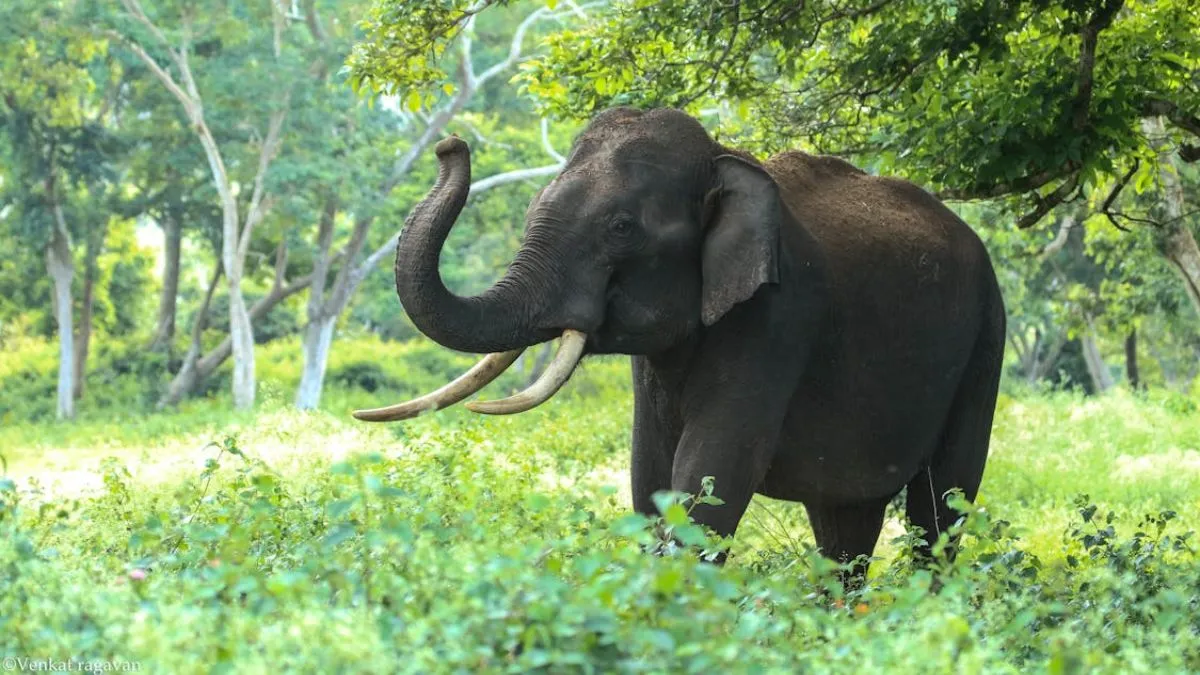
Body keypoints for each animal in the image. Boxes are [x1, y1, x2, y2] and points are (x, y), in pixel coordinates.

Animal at [354, 107, 1006, 579]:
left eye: (621, 228)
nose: (449, 145)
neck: (722, 159)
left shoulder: (778, 317)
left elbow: (712, 473)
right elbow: (651, 474)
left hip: (986, 339)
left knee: (942, 504)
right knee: (844, 524)